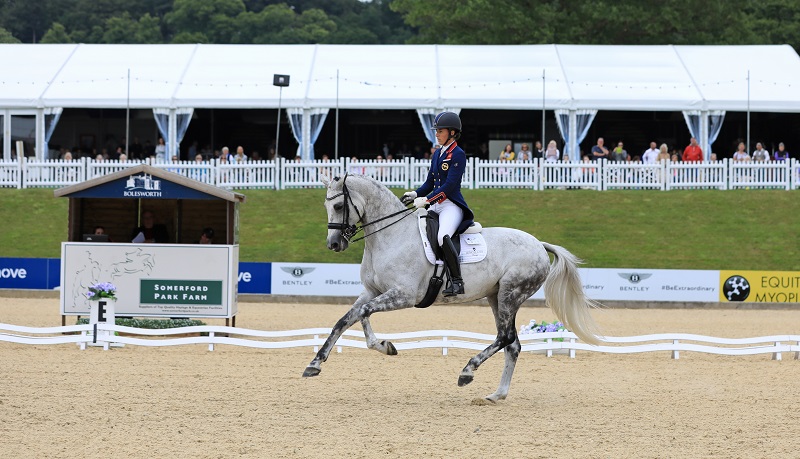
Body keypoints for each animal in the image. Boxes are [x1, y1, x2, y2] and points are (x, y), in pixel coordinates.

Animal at [306, 174, 600, 400]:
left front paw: (381, 346)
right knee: (512, 344)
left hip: (510, 293)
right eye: (326, 205)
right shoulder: (372, 291)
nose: (334, 244)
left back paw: (468, 372)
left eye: (340, 205)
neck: (390, 236)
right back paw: (497, 394)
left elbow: (363, 312)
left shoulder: (403, 295)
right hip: (496, 297)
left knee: (505, 338)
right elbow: (347, 319)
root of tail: (539, 244)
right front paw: (316, 363)